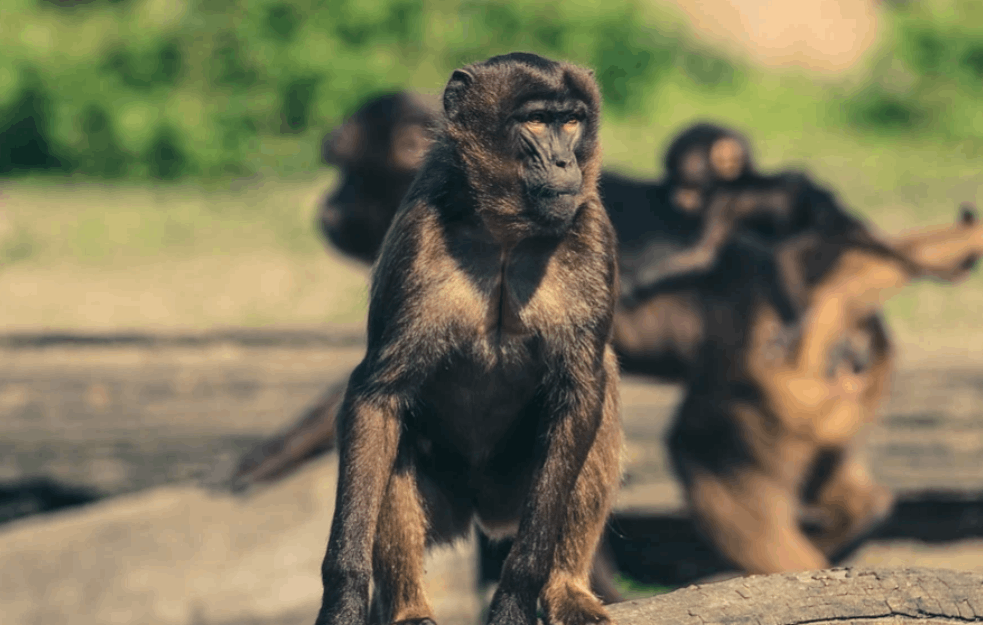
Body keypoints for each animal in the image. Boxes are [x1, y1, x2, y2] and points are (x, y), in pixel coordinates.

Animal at [316, 53, 624, 624]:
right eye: (537, 121)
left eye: (571, 121)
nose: (565, 163)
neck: (505, 234)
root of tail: (483, 510)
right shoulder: (418, 234)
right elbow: (377, 396)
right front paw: (343, 599)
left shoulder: (591, 228)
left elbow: (582, 389)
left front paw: (518, 597)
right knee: (391, 431)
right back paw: (409, 608)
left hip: (515, 493)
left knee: (601, 394)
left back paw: (566, 588)